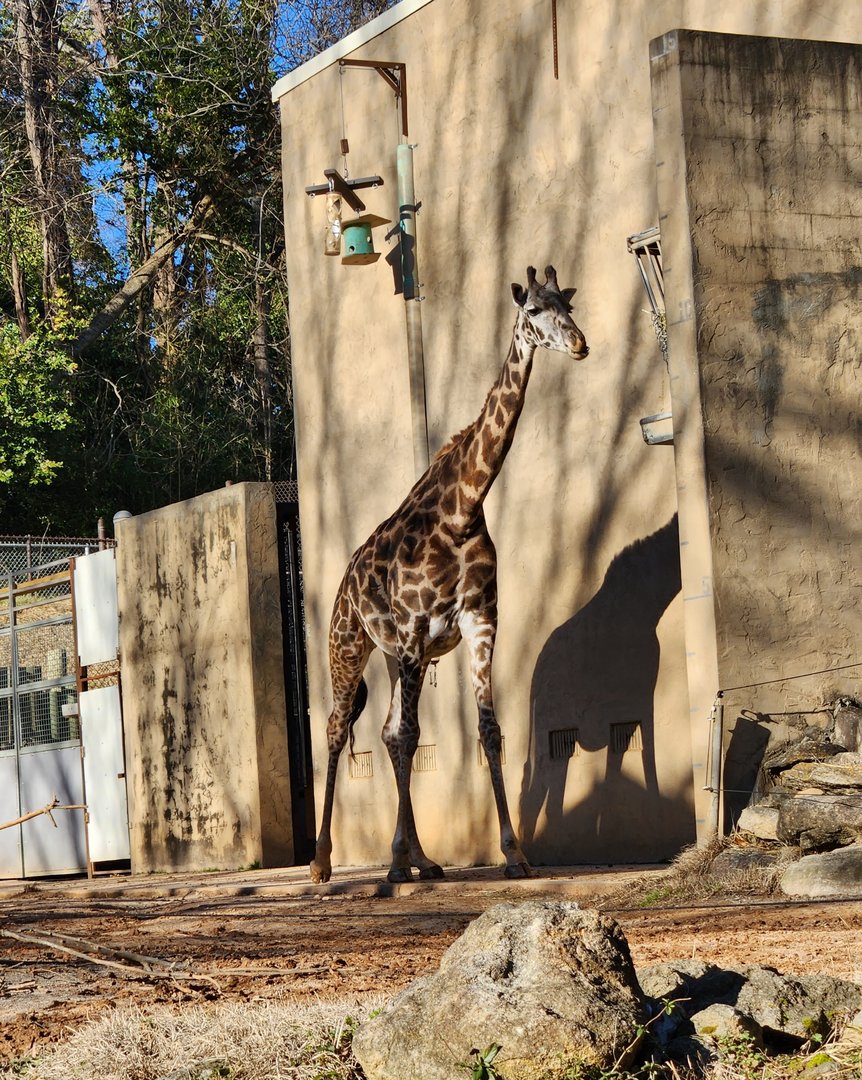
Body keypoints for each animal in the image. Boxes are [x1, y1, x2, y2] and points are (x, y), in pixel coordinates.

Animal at [310, 265, 589, 884]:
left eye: (568, 304)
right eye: (533, 311)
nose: (581, 343)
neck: (462, 508)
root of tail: (341, 583)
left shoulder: (480, 619)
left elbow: (487, 729)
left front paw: (514, 854)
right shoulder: (416, 630)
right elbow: (415, 735)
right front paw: (391, 866)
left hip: (393, 657)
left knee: (388, 733)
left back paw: (422, 859)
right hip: (351, 646)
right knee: (340, 729)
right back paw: (322, 862)